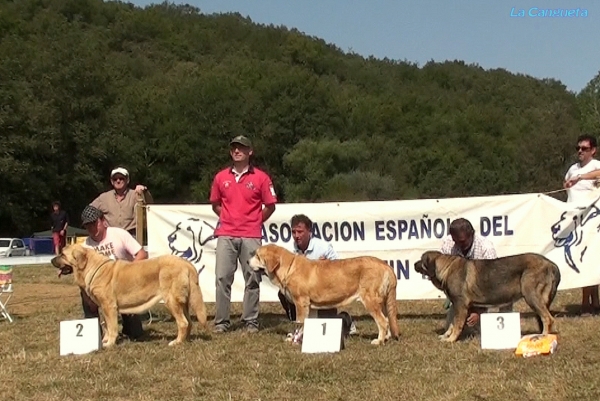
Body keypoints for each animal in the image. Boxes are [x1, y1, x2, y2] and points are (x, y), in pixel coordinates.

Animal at [50, 242, 209, 346]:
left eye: (62, 254)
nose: (51, 259)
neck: (90, 267)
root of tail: (187, 263)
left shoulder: (109, 307)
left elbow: (112, 327)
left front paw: (109, 344)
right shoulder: (104, 307)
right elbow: (107, 326)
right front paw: (105, 340)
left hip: (171, 301)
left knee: (183, 323)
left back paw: (176, 342)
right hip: (183, 303)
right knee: (189, 322)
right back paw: (186, 340)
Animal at [248, 244, 398, 344]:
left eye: (257, 255)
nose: (247, 261)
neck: (289, 268)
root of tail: (386, 265)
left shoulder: (301, 303)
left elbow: (300, 323)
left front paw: (296, 339)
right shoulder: (310, 306)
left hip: (370, 300)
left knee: (382, 321)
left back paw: (379, 341)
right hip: (383, 302)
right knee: (388, 319)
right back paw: (387, 338)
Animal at [414, 250, 560, 340]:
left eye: (421, 260)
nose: (414, 264)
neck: (446, 268)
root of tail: (551, 264)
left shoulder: (461, 305)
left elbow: (457, 325)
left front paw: (451, 339)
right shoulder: (456, 306)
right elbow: (452, 324)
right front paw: (446, 336)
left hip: (531, 295)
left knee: (548, 318)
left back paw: (542, 337)